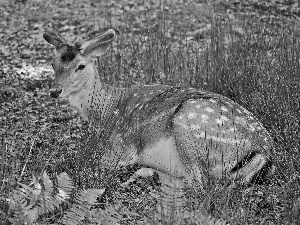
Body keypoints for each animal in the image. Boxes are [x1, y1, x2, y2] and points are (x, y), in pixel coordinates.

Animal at [43, 29, 276, 224]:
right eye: (53, 64)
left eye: (80, 66)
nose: (54, 91)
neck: (108, 111)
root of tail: (263, 151)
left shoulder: (123, 147)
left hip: (187, 124)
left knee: (199, 185)